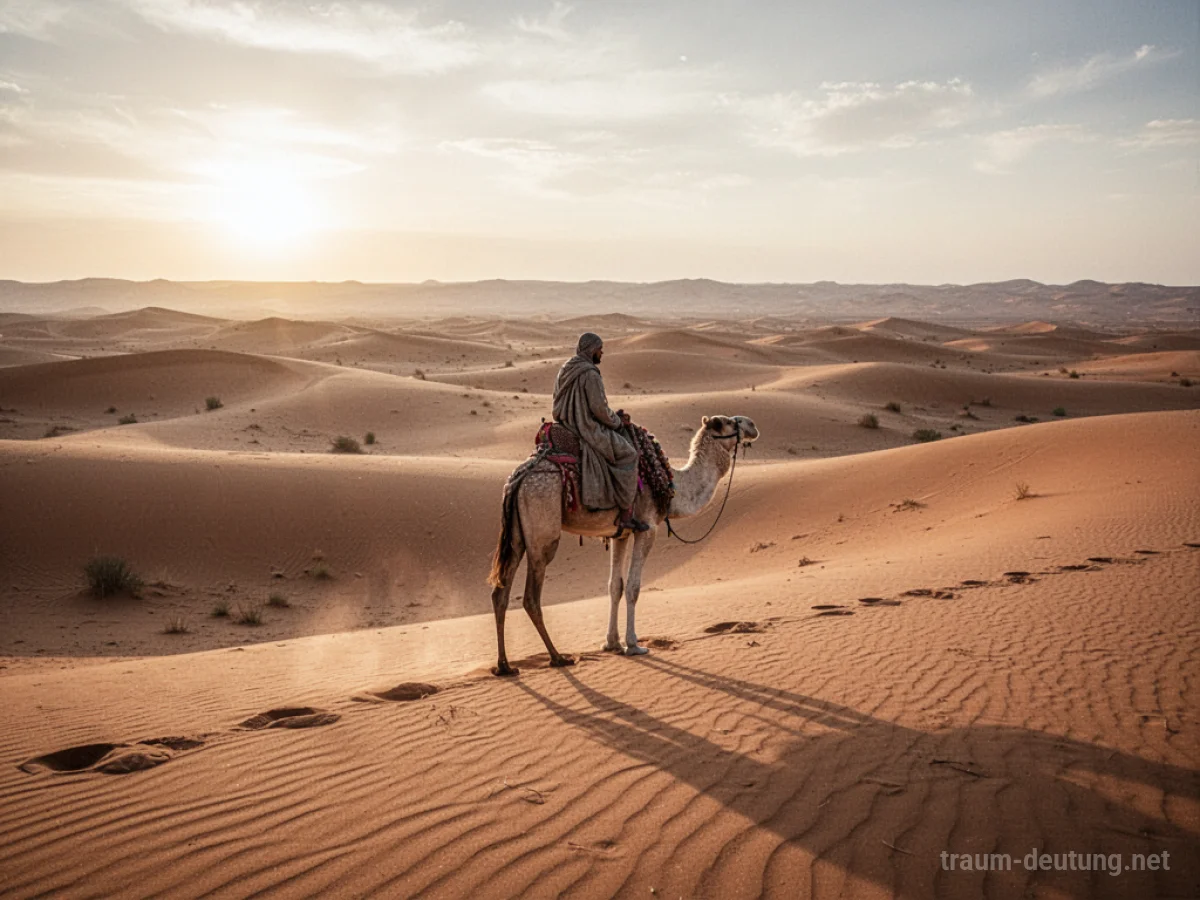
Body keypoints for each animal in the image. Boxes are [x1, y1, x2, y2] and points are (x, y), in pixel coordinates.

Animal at [487, 414, 759, 676]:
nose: (753, 425)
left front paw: (611, 643)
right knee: (531, 597)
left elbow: (614, 586)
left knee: (500, 593)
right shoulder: (647, 528)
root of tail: (518, 479)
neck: (673, 487)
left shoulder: (621, 534)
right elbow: (633, 587)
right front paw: (633, 645)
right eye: (726, 422)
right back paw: (557, 657)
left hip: (517, 536)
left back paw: (505, 666)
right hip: (542, 526)